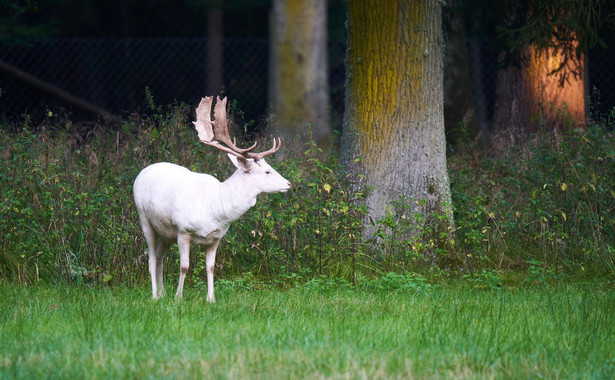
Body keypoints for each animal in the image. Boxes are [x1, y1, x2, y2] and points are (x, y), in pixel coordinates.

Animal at [133, 95, 292, 302]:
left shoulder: (216, 237)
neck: (214, 210)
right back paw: (154, 295)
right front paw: (178, 298)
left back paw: (161, 293)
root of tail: (141, 172)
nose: (288, 183)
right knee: (151, 258)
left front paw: (211, 299)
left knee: (159, 257)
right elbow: (184, 266)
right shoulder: (183, 230)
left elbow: (211, 267)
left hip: (166, 232)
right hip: (144, 218)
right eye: (267, 171)